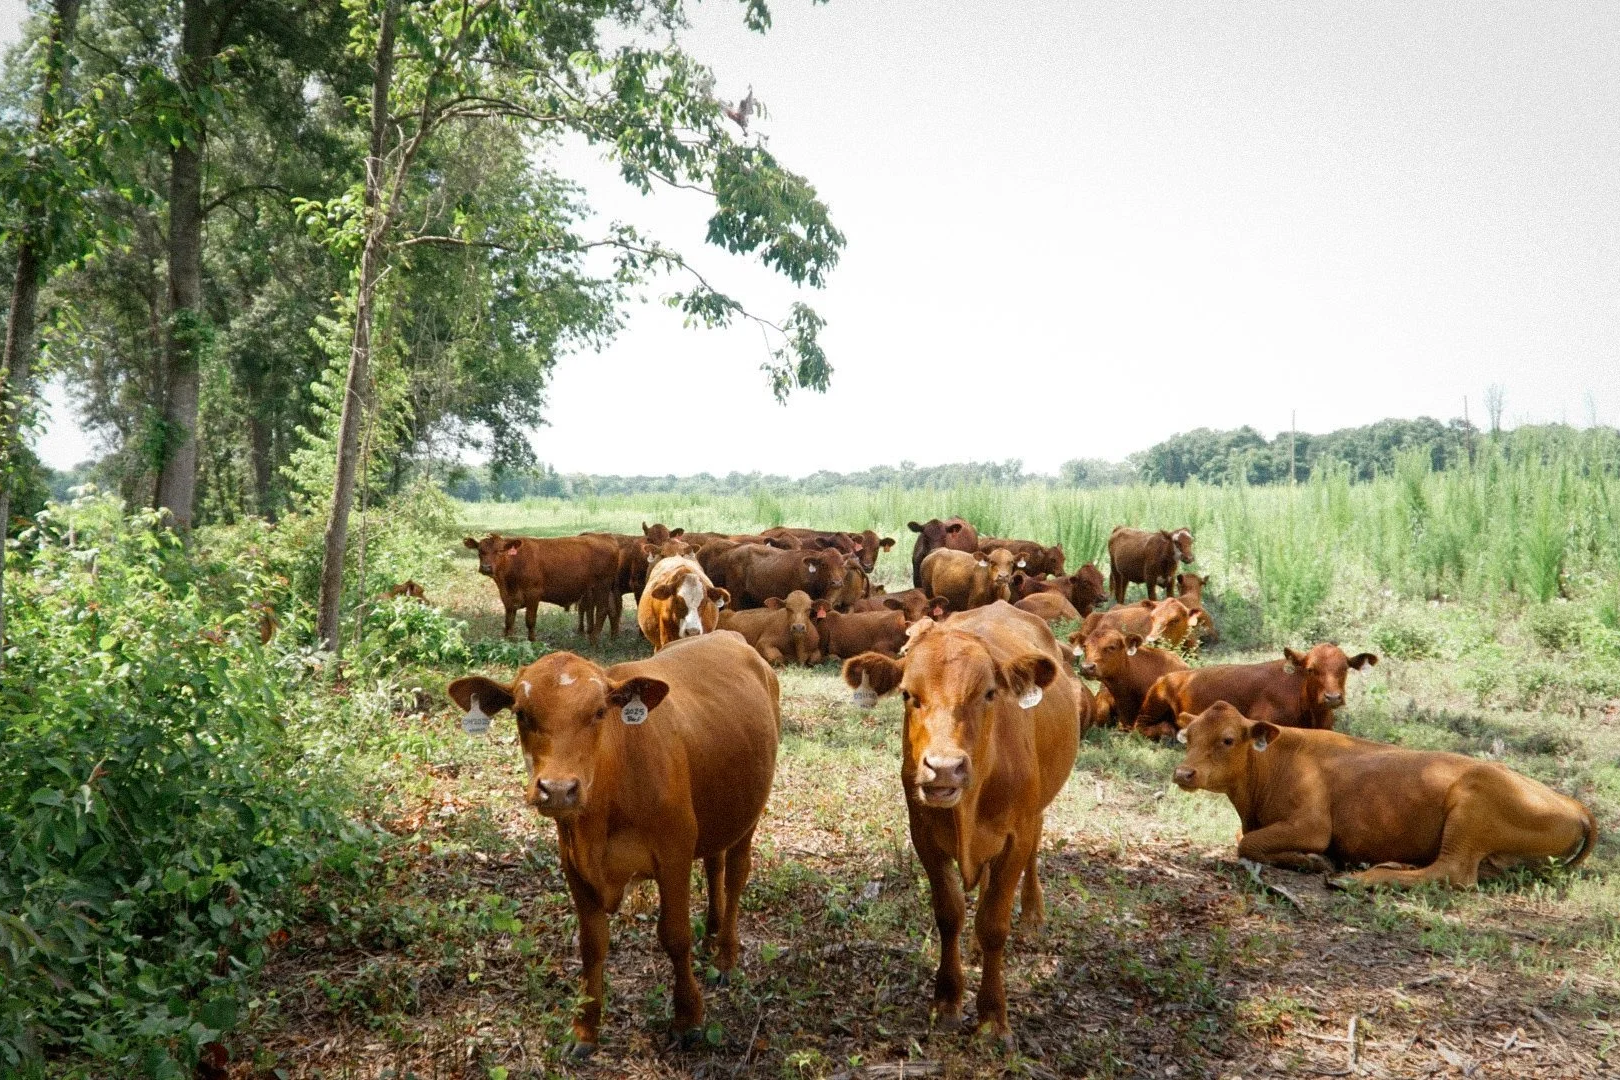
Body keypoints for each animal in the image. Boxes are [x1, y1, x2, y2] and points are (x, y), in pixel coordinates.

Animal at [446, 631, 780, 1052]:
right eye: (521, 713)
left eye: (599, 712)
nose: (559, 789)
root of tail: (730, 634)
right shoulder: (573, 862)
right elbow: (592, 944)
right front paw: (585, 1028)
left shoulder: (674, 854)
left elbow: (675, 936)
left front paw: (688, 1018)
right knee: (714, 864)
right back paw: (712, 935)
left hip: (750, 811)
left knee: (735, 875)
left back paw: (725, 957)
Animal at [463, 533, 620, 643]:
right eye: (480, 551)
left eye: (500, 551)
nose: (486, 567)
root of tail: (605, 537)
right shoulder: (507, 598)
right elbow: (508, 622)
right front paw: (508, 641)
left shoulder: (533, 594)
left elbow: (530, 620)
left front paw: (532, 641)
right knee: (611, 610)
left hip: (602, 585)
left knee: (602, 610)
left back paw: (594, 640)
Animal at [840, 602, 1081, 1046]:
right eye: (908, 695)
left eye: (989, 694)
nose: (944, 768)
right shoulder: (924, 835)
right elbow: (950, 913)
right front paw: (948, 1000)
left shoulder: (1016, 834)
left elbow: (995, 923)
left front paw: (992, 1017)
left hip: (1038, 809)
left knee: (1034, 851)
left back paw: (1033, 914)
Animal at [1172, 701, 1598, 888]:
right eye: (1186, 737)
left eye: (1228, 739)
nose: (1183, 773)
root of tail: (1575, 805)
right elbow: (1244, 837)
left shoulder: (1312, 824)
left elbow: (1248, 843)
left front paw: (1315, 861)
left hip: (1471, 804)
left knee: (1454, 873)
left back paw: (1359, 879)